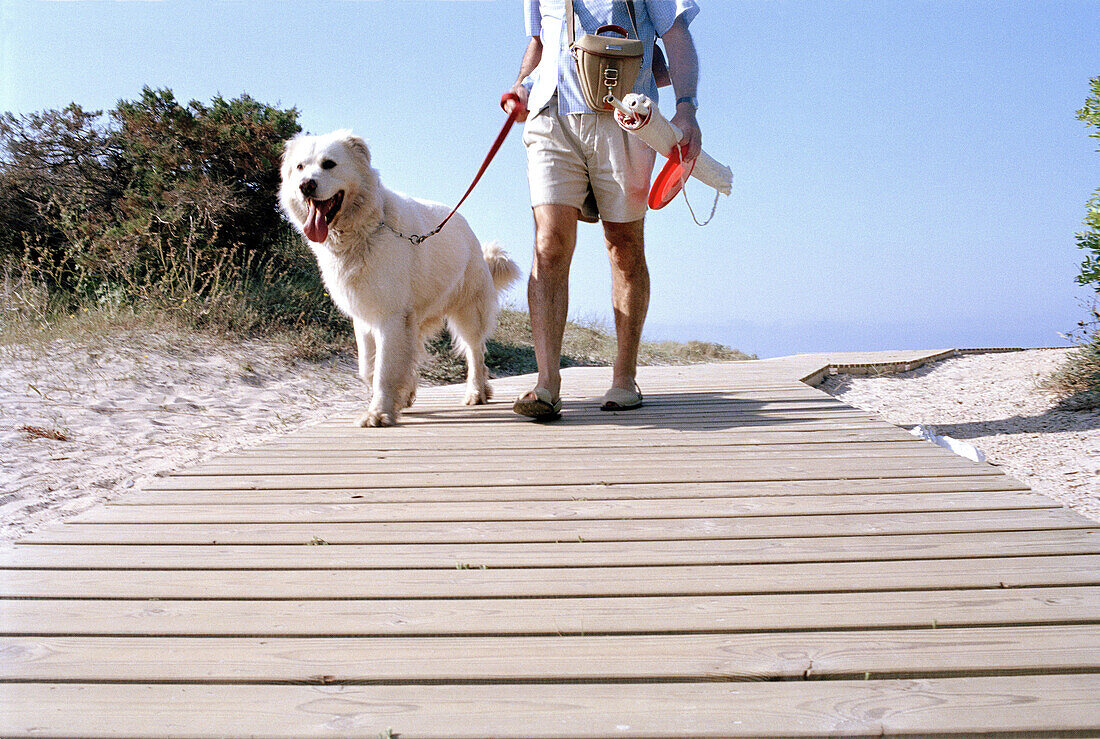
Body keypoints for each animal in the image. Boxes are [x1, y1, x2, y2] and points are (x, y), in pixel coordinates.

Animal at [283, 129, 523, 424]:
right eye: (300, 167)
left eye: (329, 164)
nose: (306, 185)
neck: (367, 227)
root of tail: (464, 225)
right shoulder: (365, 318)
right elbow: (368, 368)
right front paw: (391, 401)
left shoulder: (391, 317)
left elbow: (384, 370)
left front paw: (378, 413)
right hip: (417, 318)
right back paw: (410, 393)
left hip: (468, 313)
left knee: (475, 352)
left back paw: (477, 392)